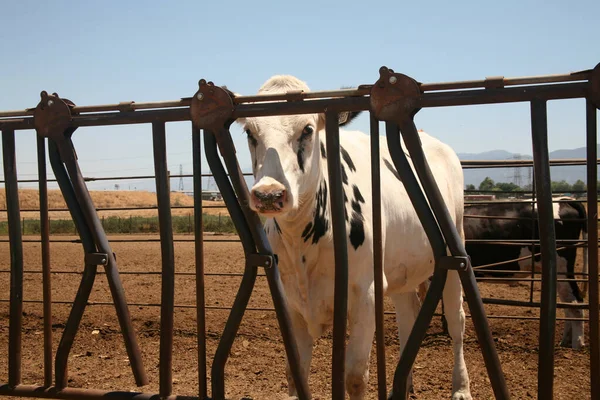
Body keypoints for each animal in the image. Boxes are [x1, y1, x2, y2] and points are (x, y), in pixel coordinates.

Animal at [239, 76, 474, 400]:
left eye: (307, 129)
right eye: (250, 132)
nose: (269, 194)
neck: (303, 244)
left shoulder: (367, 293)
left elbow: (354, 378)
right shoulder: (291, 300)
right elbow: (295, 373)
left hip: (454, 252)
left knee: (456, 321)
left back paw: (461, 387)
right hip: (401, 272)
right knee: (408, 319)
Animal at [464, 198, 592, 348]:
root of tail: (563, 199)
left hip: (563, 267)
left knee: (576, 302)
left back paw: (577, 343)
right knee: (567, 302)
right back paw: (566, 340)